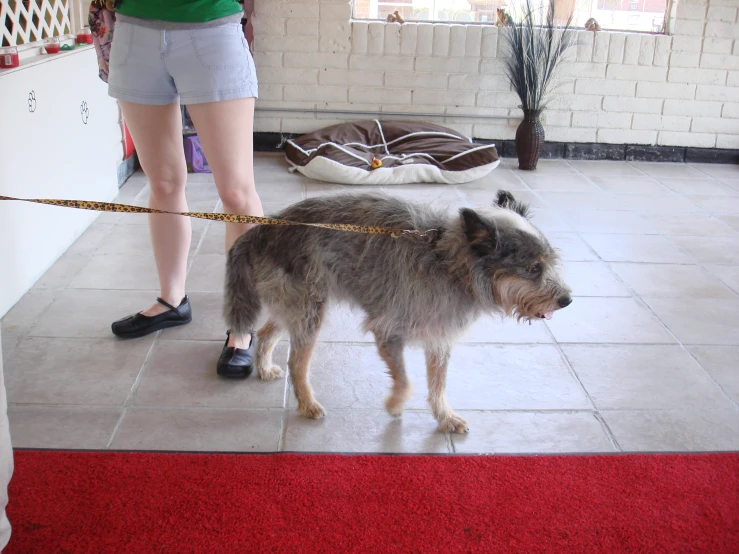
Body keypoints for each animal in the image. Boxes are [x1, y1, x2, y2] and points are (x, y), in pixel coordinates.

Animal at [225, 190, 572, 432]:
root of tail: (262, 229)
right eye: (533, 268)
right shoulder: (388, 331)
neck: (449, 262)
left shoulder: (439, 339)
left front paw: (444, 417)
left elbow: (438, 385)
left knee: (265, 332)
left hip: (296, 306)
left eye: (549, 263)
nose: (567, 300)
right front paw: (395, 404)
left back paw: (264, 367)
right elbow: (406, 381)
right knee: (297, 363)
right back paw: (308, 403)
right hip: (309, 311)